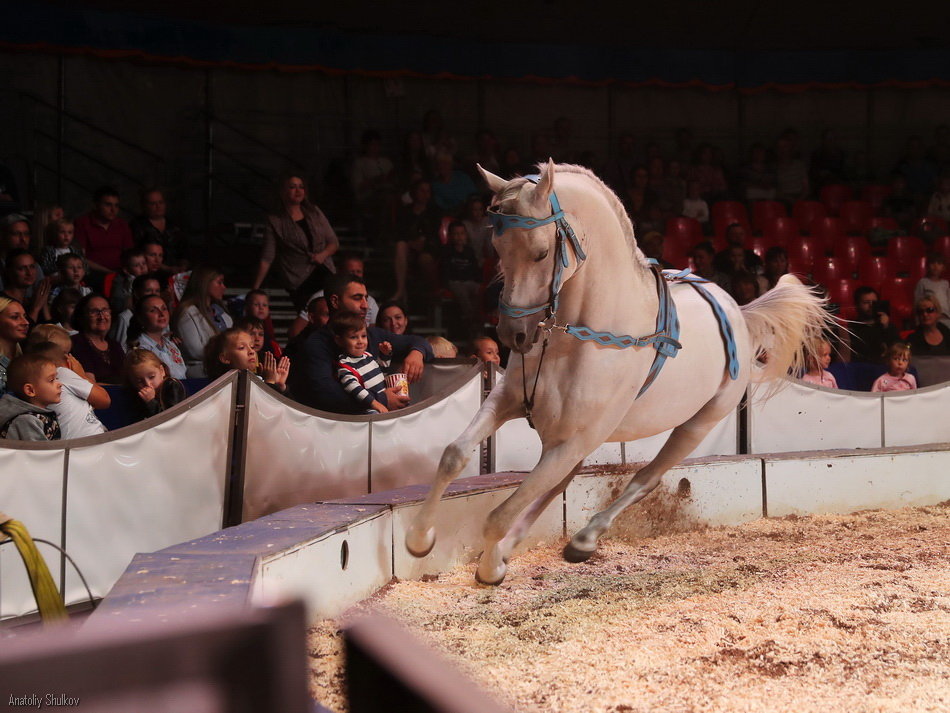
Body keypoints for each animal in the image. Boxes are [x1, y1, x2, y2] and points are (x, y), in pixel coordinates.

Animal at [406, 161, 828, 584]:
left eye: (541, 253)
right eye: (497, 248)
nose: (515, 335)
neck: (583, 336)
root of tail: (738, 313)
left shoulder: (574, 440)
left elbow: (498, 514)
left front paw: (489, 568)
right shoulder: (509, 402)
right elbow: (454, 454)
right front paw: (419, 539)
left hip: (694, 426)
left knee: (644, 479)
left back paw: (583, 540)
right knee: (555, 485)